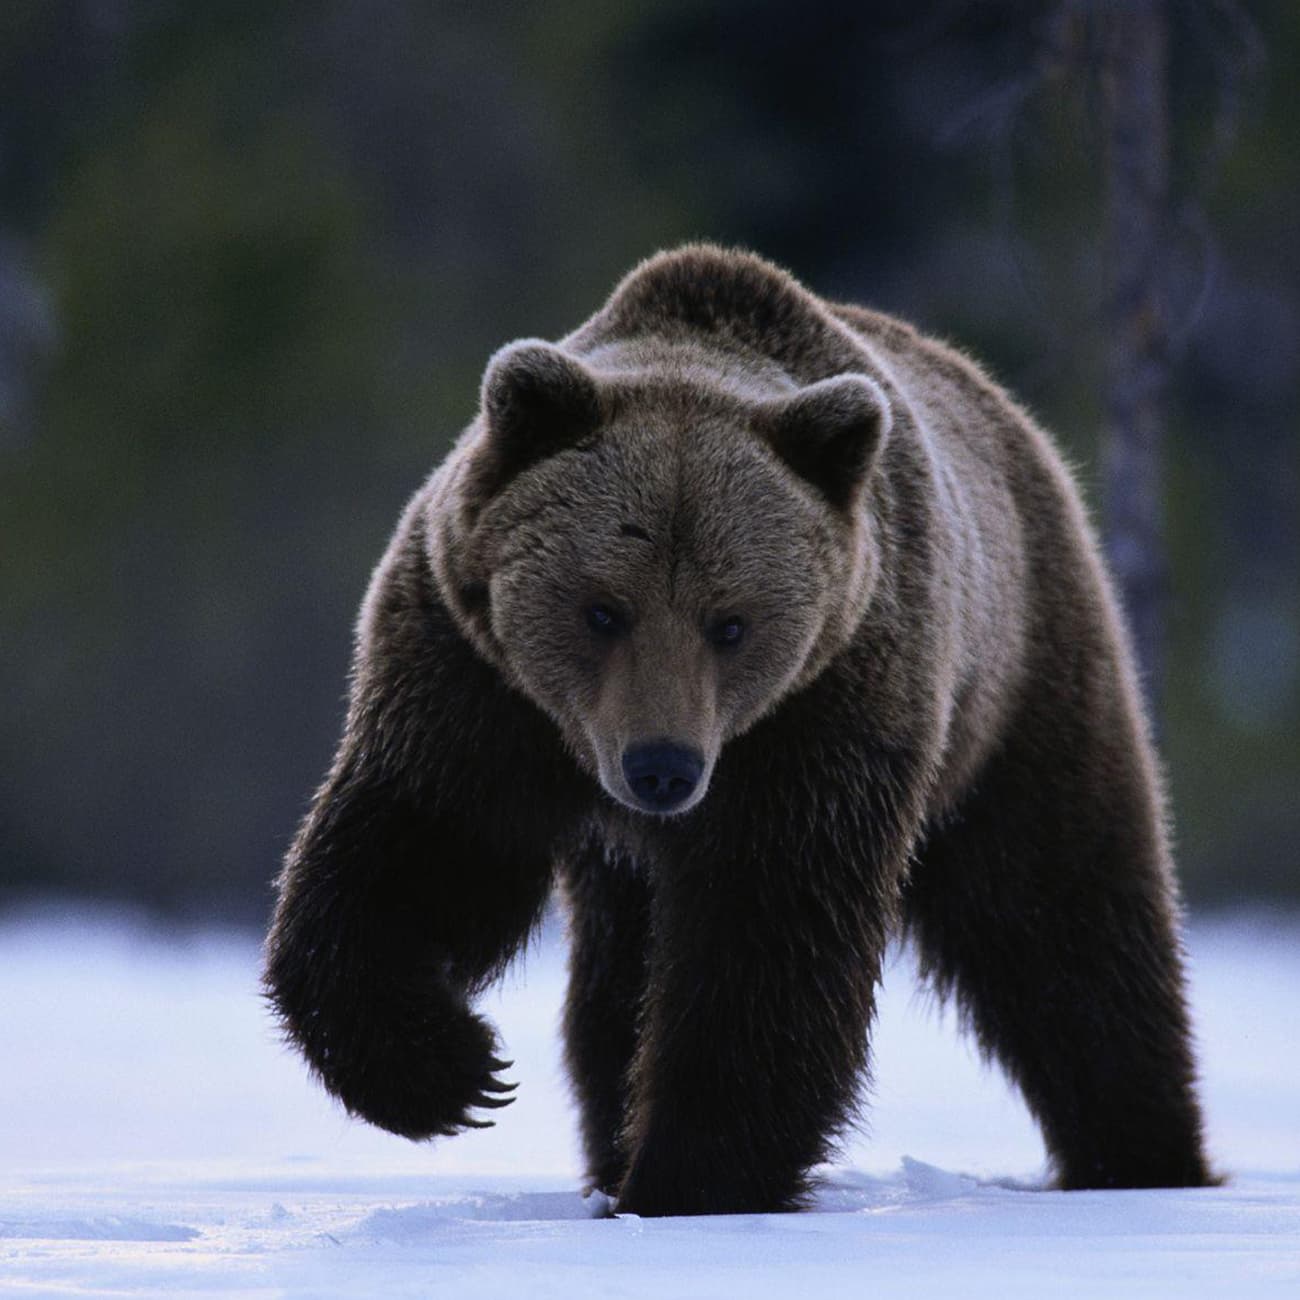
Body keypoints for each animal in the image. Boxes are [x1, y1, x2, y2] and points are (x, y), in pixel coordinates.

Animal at [263, 244, 1212, 1216]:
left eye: (731, 622)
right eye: (603, 609)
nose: (662, 768)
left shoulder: (826, 710)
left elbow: (767, 933)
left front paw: (690, 1177)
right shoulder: (474, 680)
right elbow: (423, 847)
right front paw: (452, 1072)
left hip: (1020, 685)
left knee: (1061, 918)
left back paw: (1140, 1155)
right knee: (614, 984)